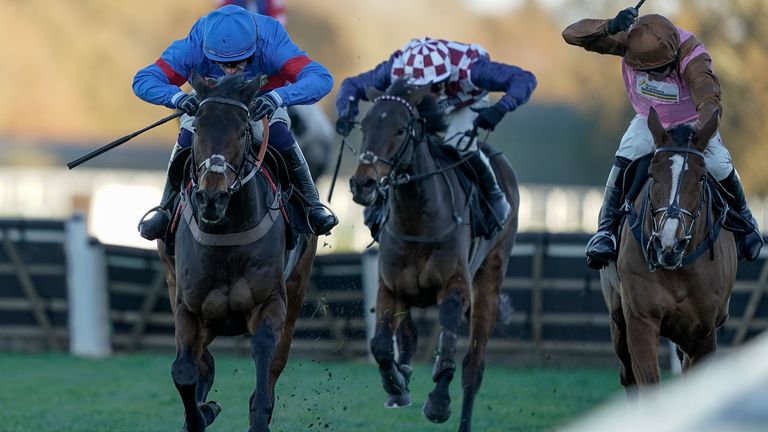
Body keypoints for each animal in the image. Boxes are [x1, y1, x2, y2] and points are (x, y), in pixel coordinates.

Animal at [154, 72, 316, 430]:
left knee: (275, 361)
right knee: (203, 362)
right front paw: (202, 414)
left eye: (242, 131)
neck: (225, 236)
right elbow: (183, 370)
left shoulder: (270, 302)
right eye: (199, 129)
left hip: (297, 286)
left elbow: (264, 361)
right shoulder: (188, 307)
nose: (211, 198)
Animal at [350, 79, 520, 430]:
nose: (363, 184)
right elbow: (381, 345)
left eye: (401, 129)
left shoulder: (455, 287)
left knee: (473, 367)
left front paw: (438, 403)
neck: (417, 220)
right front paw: (395, 385)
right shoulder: (390, 286)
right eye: (365, 125)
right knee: (410, 336)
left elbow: (448, 348)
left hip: (489, 281)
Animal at [600, 108, 736, 392]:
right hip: (617, 317)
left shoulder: (704, 334)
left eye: (701, 178)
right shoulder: (641, 320)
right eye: (652, 175)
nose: (668, 242)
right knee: (627, 375)